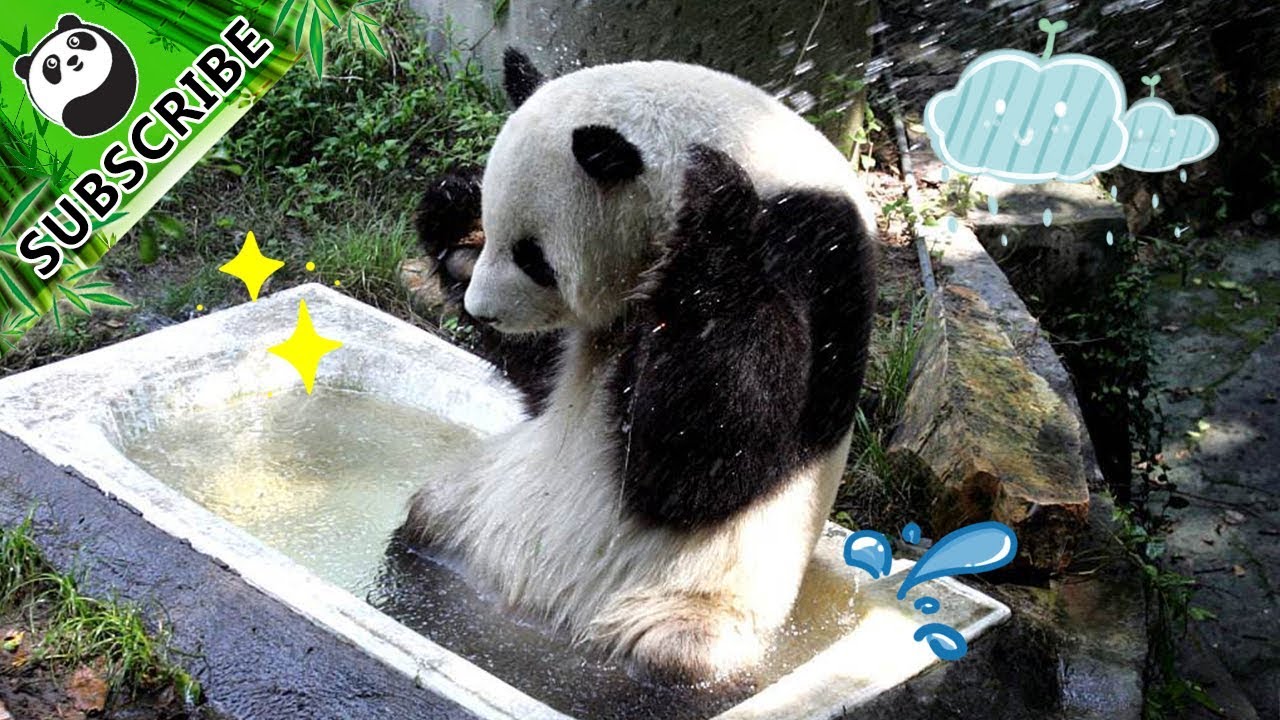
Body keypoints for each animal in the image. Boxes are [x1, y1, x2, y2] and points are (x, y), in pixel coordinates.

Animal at [406, 49, 877, 683]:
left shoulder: (819, 254)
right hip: (468, 508)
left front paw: (715, 214)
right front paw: (455, 213)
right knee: (424, 520)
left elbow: (708, 457)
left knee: (682, 657)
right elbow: (542, 378)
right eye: (498, 234)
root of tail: (540, 615)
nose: (485, 310)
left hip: (686, 602)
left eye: (534, 258)